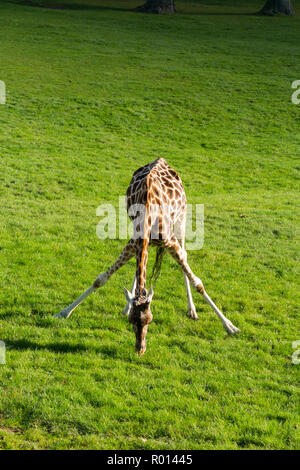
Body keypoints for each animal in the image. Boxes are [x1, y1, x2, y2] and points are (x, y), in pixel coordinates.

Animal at [55, 156, 239, 354]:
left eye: (150, 319)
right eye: (132, 321)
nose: (140, 349)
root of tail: (162, 160)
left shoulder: (169, 241)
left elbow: (198, 283)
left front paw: (230, 326)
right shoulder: (134, 241)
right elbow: (101, 279)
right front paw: (64, 312)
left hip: (180, 221)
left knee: (185, 256)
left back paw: (192, 310)